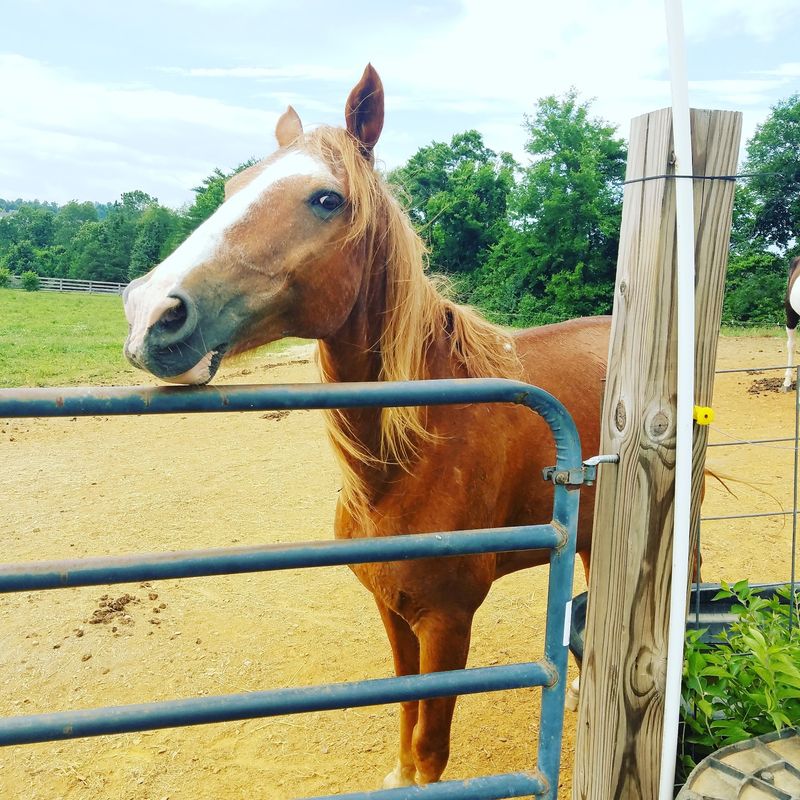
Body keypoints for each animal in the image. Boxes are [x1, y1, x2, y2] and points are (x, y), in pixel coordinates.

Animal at [122, 64, 610, 789]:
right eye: (235, 187)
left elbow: (432, 744)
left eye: (327, 199)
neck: (408, 460)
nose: (152, 312)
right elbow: (406, 712)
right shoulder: (392, 608)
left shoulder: (447, 621)